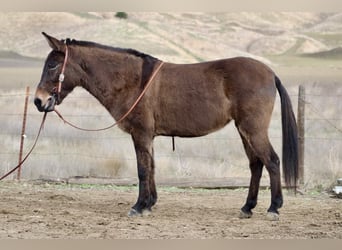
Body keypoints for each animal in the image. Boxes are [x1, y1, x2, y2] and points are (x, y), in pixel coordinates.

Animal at [33, 31, 298, 221]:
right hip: (244, 131)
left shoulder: (140, 134)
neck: (133, 81)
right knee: (256, 165)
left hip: (253, 130)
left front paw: (138, 206)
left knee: (272, 161)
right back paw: (247, 207)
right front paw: (149, 204)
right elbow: (151, 167)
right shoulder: (148, 136)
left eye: (53, 65)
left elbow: (142, 169)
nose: (39, 101)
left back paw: (274, 208)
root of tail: (270, 73)